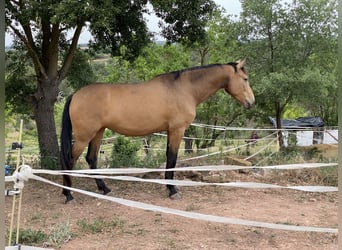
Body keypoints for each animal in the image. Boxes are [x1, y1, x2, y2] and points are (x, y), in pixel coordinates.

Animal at [60, 59, 255, 203]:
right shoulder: (177, 130)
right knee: (69, 160)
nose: (251, 102)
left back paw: (104, 188)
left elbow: (169, 157)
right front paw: (172, 190)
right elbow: (172, 158)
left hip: (98, 132)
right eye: (245, 79)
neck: (184, 89)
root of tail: (75, 95)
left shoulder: (170, 131)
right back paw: (68, 194)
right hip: (84, 136)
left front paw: (169, 187)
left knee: (91, 158)